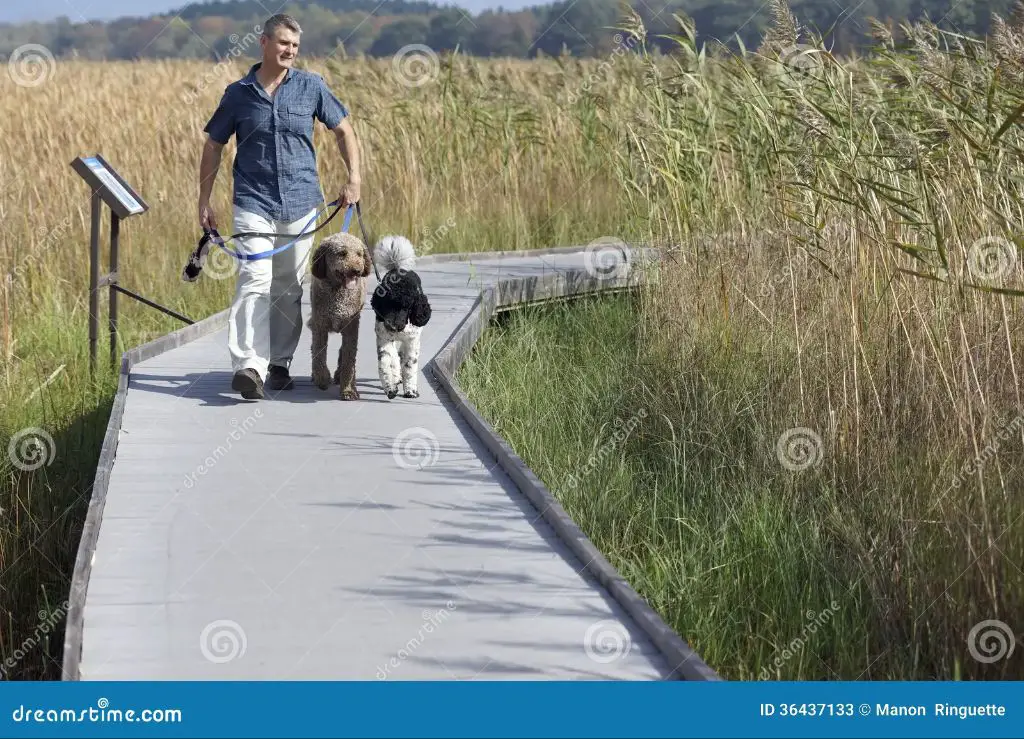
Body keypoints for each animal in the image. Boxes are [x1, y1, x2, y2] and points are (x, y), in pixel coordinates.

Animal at [307, 233, 372, 399]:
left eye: (359, 254)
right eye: (342, 253)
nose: (357, 270)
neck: (338, 292)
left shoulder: (351, 328)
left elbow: (349, 359)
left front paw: (348, 390)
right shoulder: (320, 326)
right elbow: (319, 354)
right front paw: (322, 378)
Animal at [370, 234, 430, 397]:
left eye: (407, 307)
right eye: (386, 304)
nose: (392, 326)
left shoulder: (412, 341)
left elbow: (409, 365)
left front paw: (410, 390)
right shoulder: (383, 337)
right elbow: (386, 363)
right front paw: (390, 388)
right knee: (395, 358)